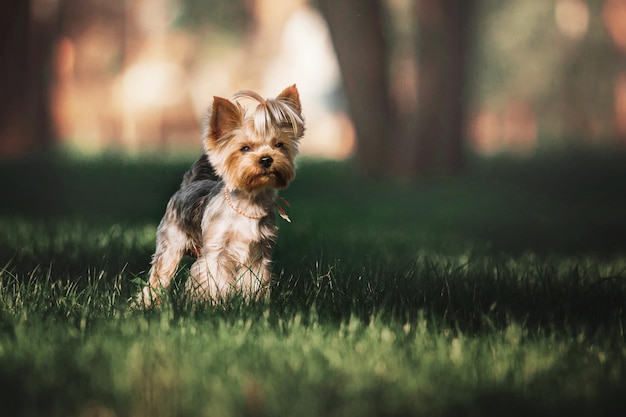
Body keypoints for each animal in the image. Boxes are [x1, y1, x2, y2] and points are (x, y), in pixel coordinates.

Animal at [142, 85, 308, 306]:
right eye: (245, 148)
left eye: (278, 145)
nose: (266, 159)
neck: (249, 202)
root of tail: (192, 183)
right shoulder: (216, 252)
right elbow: (216, 280)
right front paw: (217, 304)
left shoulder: (258, 253)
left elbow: (253, 280)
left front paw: (252, 302)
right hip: (171, 241)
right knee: (160, 274)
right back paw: (148, 303)